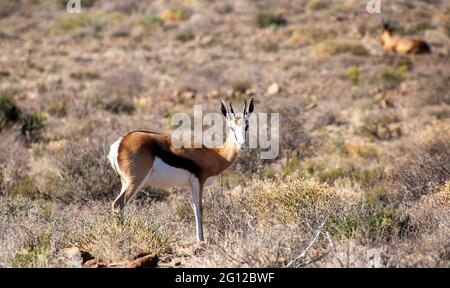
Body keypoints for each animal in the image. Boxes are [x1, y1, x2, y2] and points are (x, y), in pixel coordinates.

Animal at [108, 98, 253, 241]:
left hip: (125, 182)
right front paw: (201, 240)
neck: (215, 155)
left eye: (246, 126)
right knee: (118, 204)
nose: (242, 145)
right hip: (135, 181)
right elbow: (199, 209)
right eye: (231, 127)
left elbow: (194, 208)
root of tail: (120, 142)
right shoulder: (198, 181)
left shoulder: (192, 185)